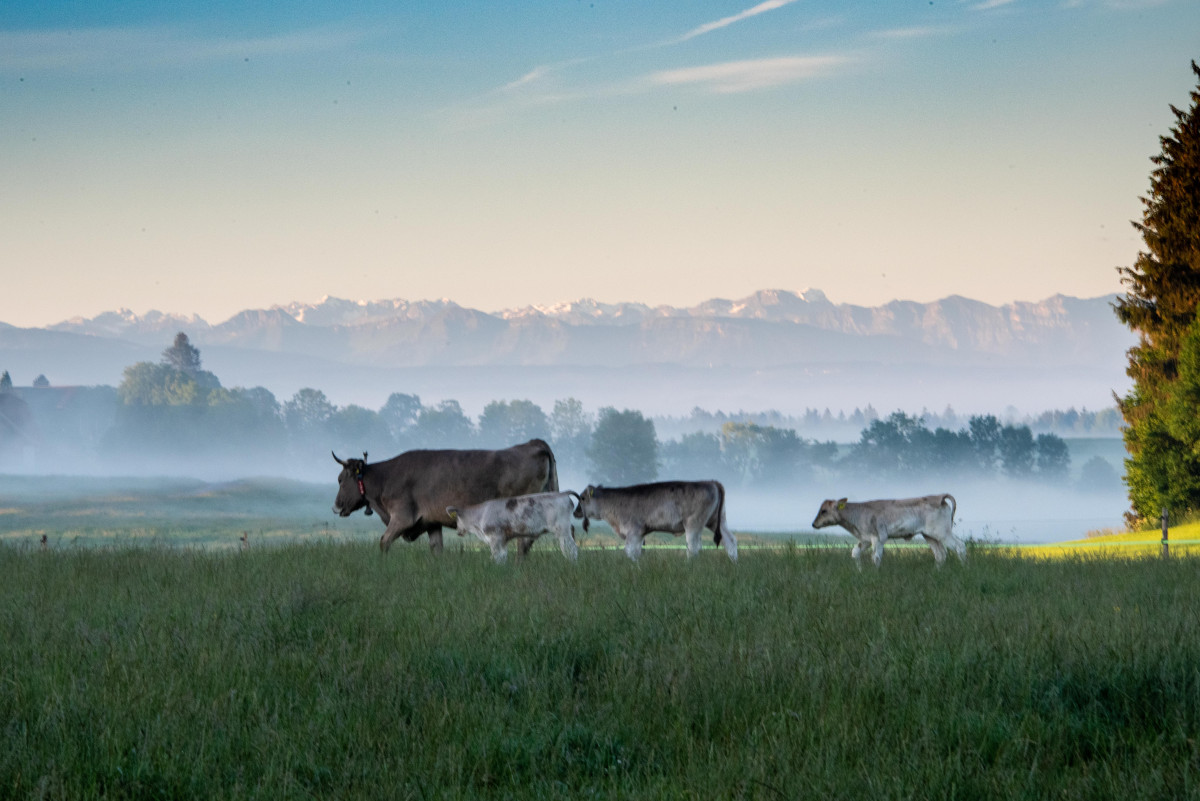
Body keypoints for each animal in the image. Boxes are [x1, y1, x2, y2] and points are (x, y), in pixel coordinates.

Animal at [333, 441, 556, 553]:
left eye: (340, 479)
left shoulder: (402, 517)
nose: (335, 506)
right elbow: (436, 548)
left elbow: (384, 541)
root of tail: (533, 443)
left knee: (524, 542)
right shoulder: (431, 522)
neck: (385, 478)